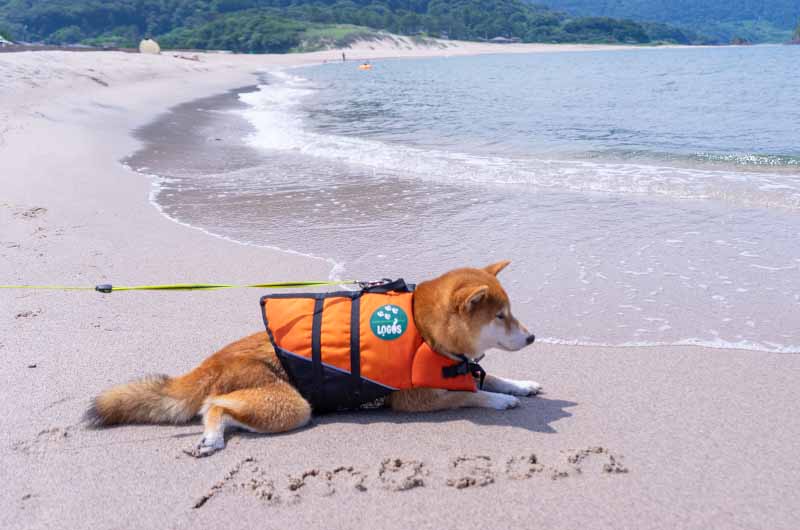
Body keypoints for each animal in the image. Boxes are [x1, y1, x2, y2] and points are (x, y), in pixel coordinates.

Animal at [86, 260, 536, 454]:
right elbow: (470, 394)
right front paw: (501, 399)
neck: (426, 332)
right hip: (290, 405)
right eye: (500, 316)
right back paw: (212, 436)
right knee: (214, 406)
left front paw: (521, 384)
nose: (532, 337)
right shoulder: (415, 398)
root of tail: (214, 361)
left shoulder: (460, 370)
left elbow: (487, 377)